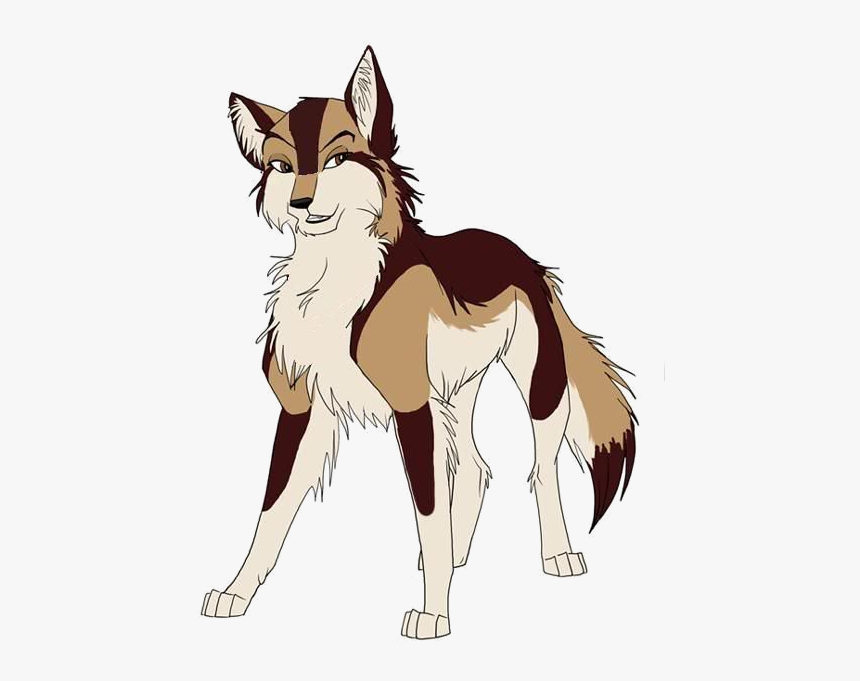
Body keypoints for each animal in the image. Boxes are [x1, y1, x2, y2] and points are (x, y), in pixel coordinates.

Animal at [201, 46, 636, 639]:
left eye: (336, 159)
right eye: (283, 167)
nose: (300, 202)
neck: (336, 285)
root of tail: (520, 253)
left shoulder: (410, 407)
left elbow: (427, 515)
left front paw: (434, 614)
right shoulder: (303, 407)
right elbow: (270, 513)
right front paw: (236, 594)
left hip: (537, 392)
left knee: (540, 472)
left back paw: (557, 556)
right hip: (453, 399)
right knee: (478, 469)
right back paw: (459, 556)